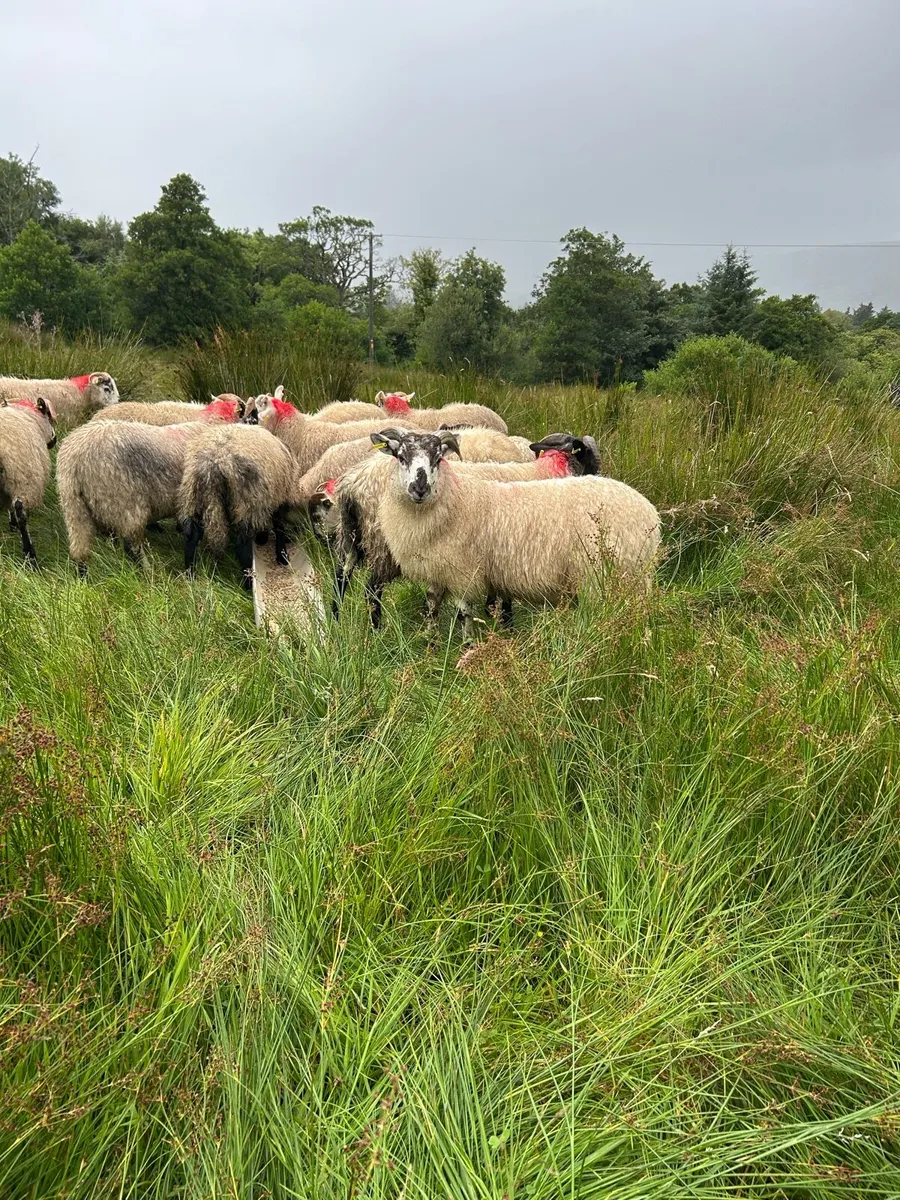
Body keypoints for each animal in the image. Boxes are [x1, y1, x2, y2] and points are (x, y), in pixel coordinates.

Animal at [56, 420, 209, 570]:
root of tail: (75, 460)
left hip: (74, 506)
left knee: (80, 551)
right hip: (125, 502)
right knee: (131, 545)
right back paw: (147, 571)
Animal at [177, 425, 302, 589]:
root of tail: (215, 460)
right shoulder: (279, 498)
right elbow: (279, 527)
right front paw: (282, 556)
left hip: (193, 495)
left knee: (192, 537)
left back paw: (190, 574)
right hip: (247, 502)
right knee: (242, 546)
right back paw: (248, 583)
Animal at [327, 432, 601, 628]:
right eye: (589, 455)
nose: (600, 476)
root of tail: (353, 482)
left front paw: (492, 617)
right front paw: (506, 624)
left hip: (350, 535)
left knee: (341, 578)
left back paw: (336, 625)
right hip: (383, 546)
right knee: (372, 591)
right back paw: (376, 631)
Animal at [372, 429, 660, 642]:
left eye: (438, 459)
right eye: (400, 457)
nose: (418, 488)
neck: (456, 499)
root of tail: (649, 512)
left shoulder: (465, 571)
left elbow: (465, 614)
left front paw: (467, 649)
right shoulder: (441, 569)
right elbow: (432, 608)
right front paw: (431, 646)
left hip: (616, 577)